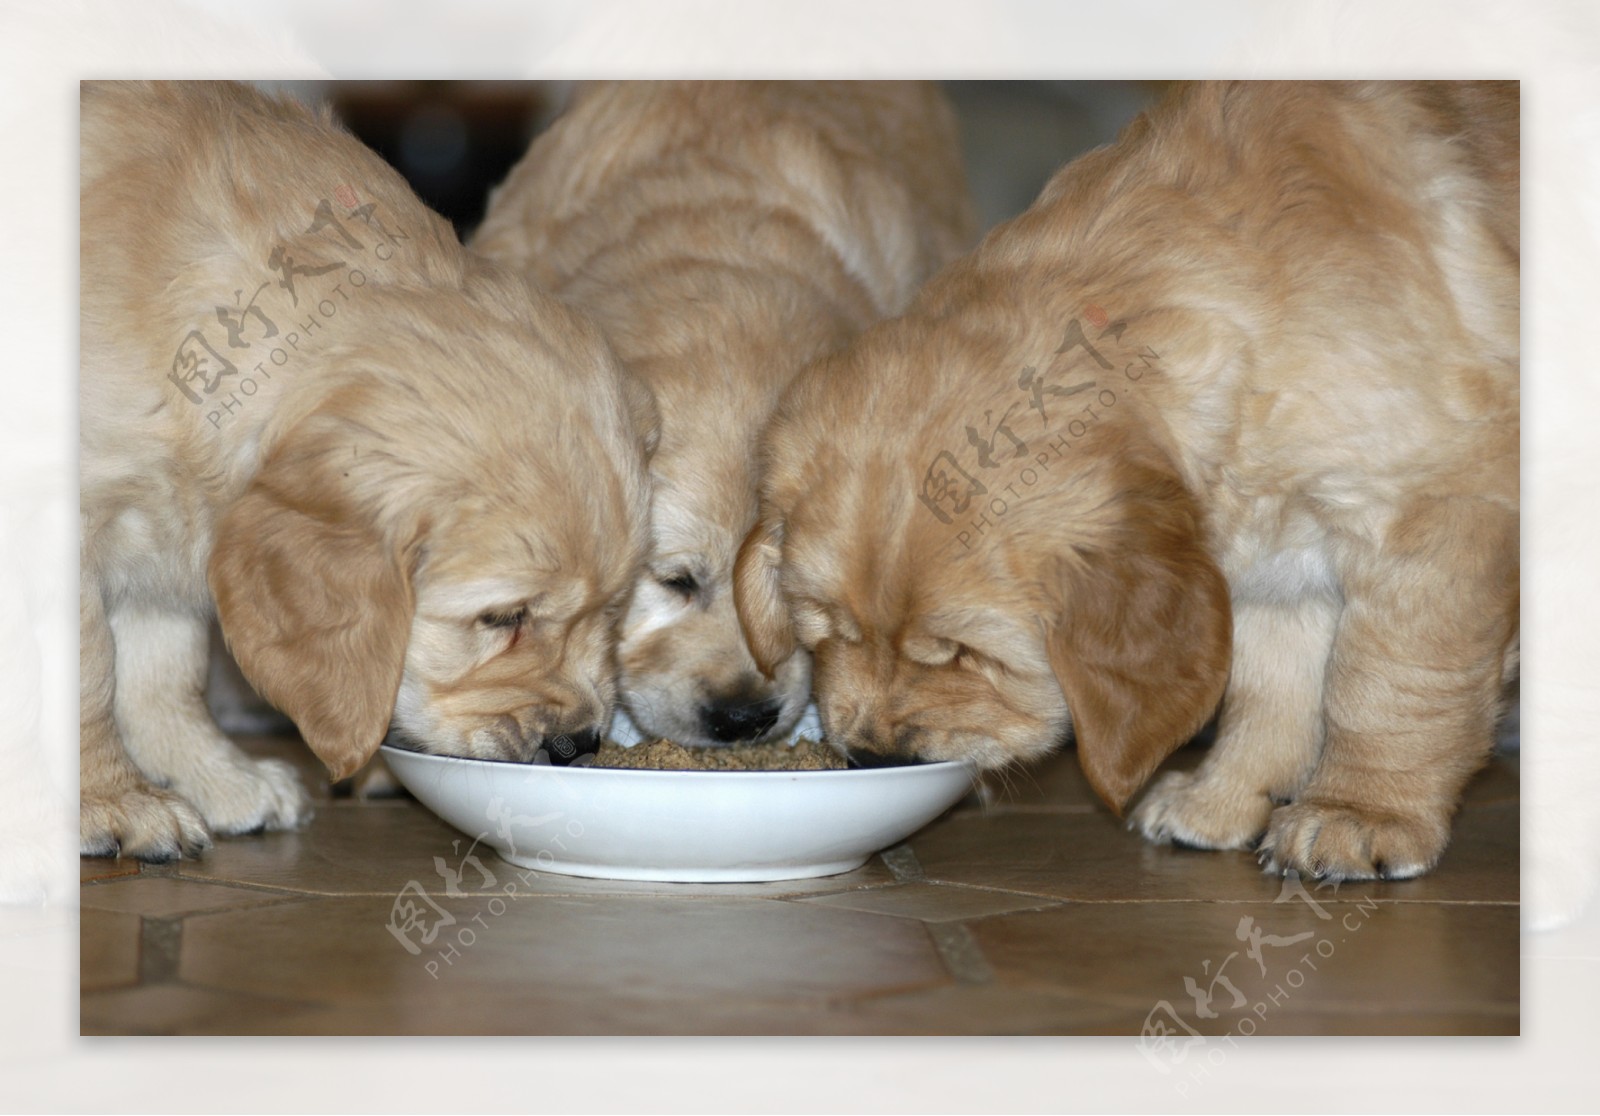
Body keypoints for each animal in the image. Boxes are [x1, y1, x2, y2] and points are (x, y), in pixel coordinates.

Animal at [79, 80, 656, 863]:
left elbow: (163, 673)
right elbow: (89, 670)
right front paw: (114, 800)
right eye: (502, 618)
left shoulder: (164, 529)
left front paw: (215, 778)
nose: (578, 746)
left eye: (617, 606)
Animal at [736, 80, 1510, 876]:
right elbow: (1271, 689)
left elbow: (1389, 683)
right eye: (826, 630)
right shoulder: (1279, 560)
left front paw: (1360, 810)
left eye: (964, 654)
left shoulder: (1432, 511)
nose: (870, 758)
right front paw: (1220, 798)